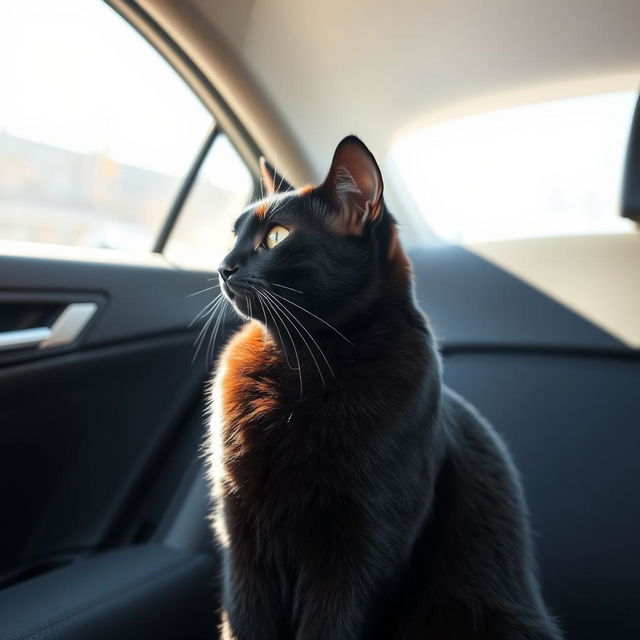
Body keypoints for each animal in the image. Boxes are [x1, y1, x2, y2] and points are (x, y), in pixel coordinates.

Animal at [206, 136, 560, 640]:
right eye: (233, 234)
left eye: (276, 237)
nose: (223, 267)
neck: (301, 362)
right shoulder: (241, 537)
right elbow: (243, 620)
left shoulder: (364, 550)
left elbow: (331, 625)